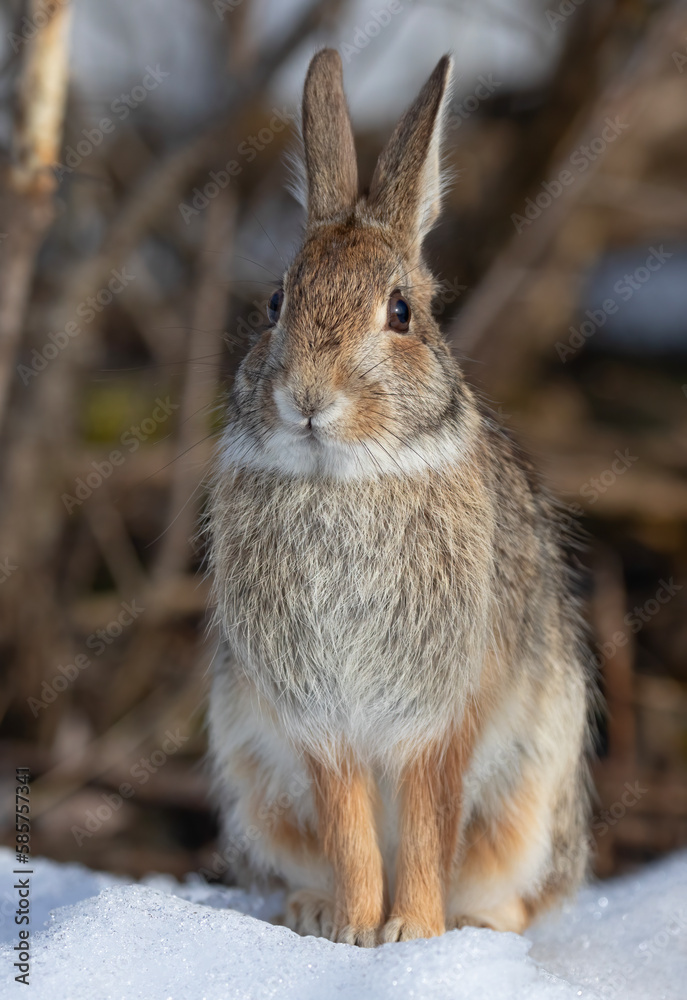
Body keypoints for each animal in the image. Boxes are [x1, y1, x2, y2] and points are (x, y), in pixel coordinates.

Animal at [206, 50, 596, 948]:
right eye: (275, 302)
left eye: (401, 312)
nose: (308, 398)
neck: (343, 479)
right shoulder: (319, 719)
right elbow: (349, 825)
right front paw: (355, 931)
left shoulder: (441, 710)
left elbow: (426, 818)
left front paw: (411, 935)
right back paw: (309, 910)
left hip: (530, 791)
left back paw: (477, 926)